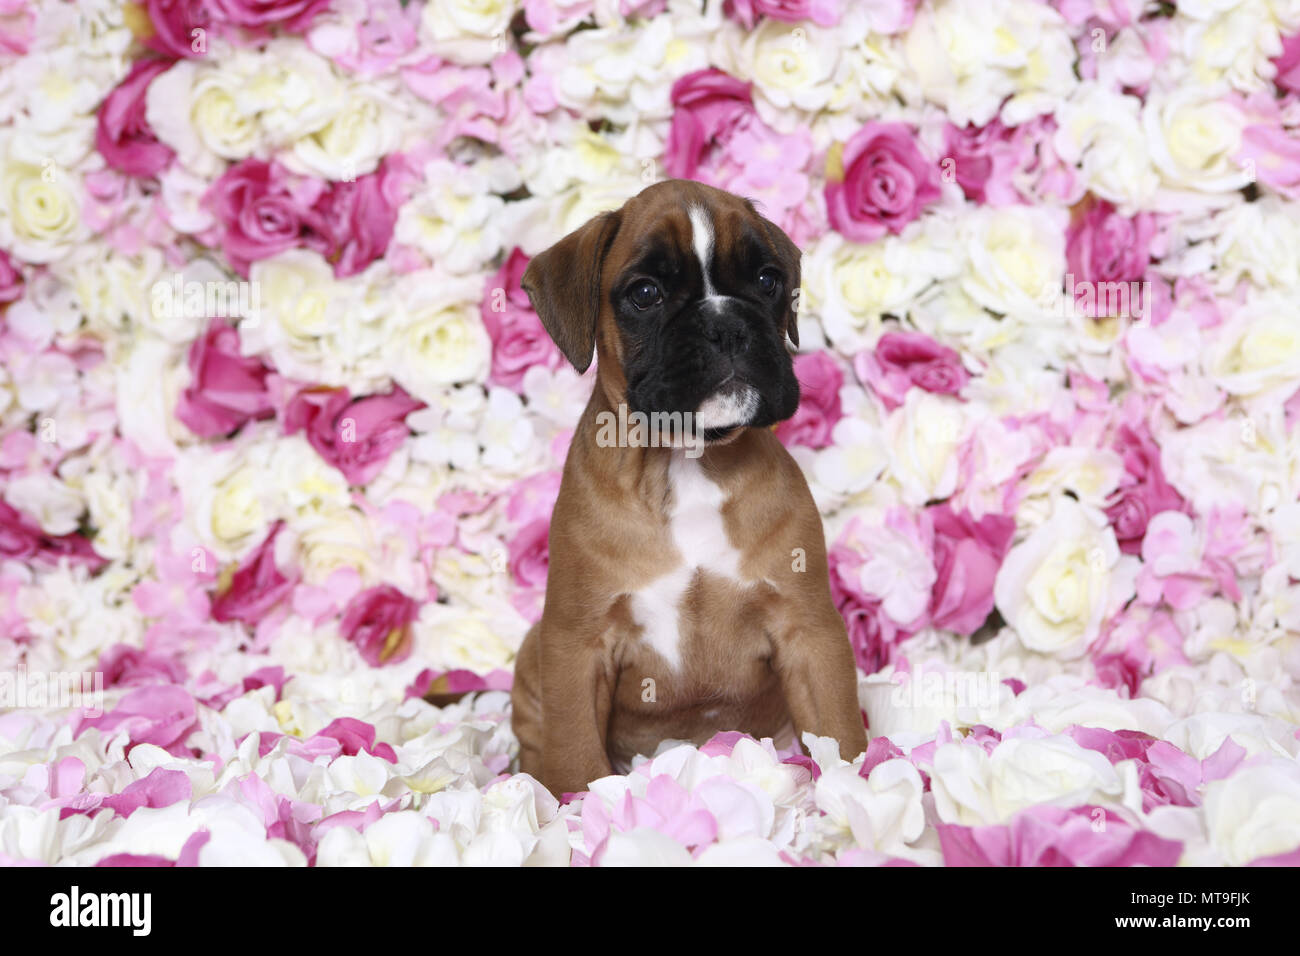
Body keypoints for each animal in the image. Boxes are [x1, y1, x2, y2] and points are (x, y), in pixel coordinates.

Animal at [506, 180, 863, 801]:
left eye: (768, 280)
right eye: (646, 294)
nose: (727, 325)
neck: (687, 459)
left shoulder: (810, 633)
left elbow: (840, 732)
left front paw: (855, 790)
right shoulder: (575, 647)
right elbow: (574, 755)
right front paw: (574, 812)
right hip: (533, 654)